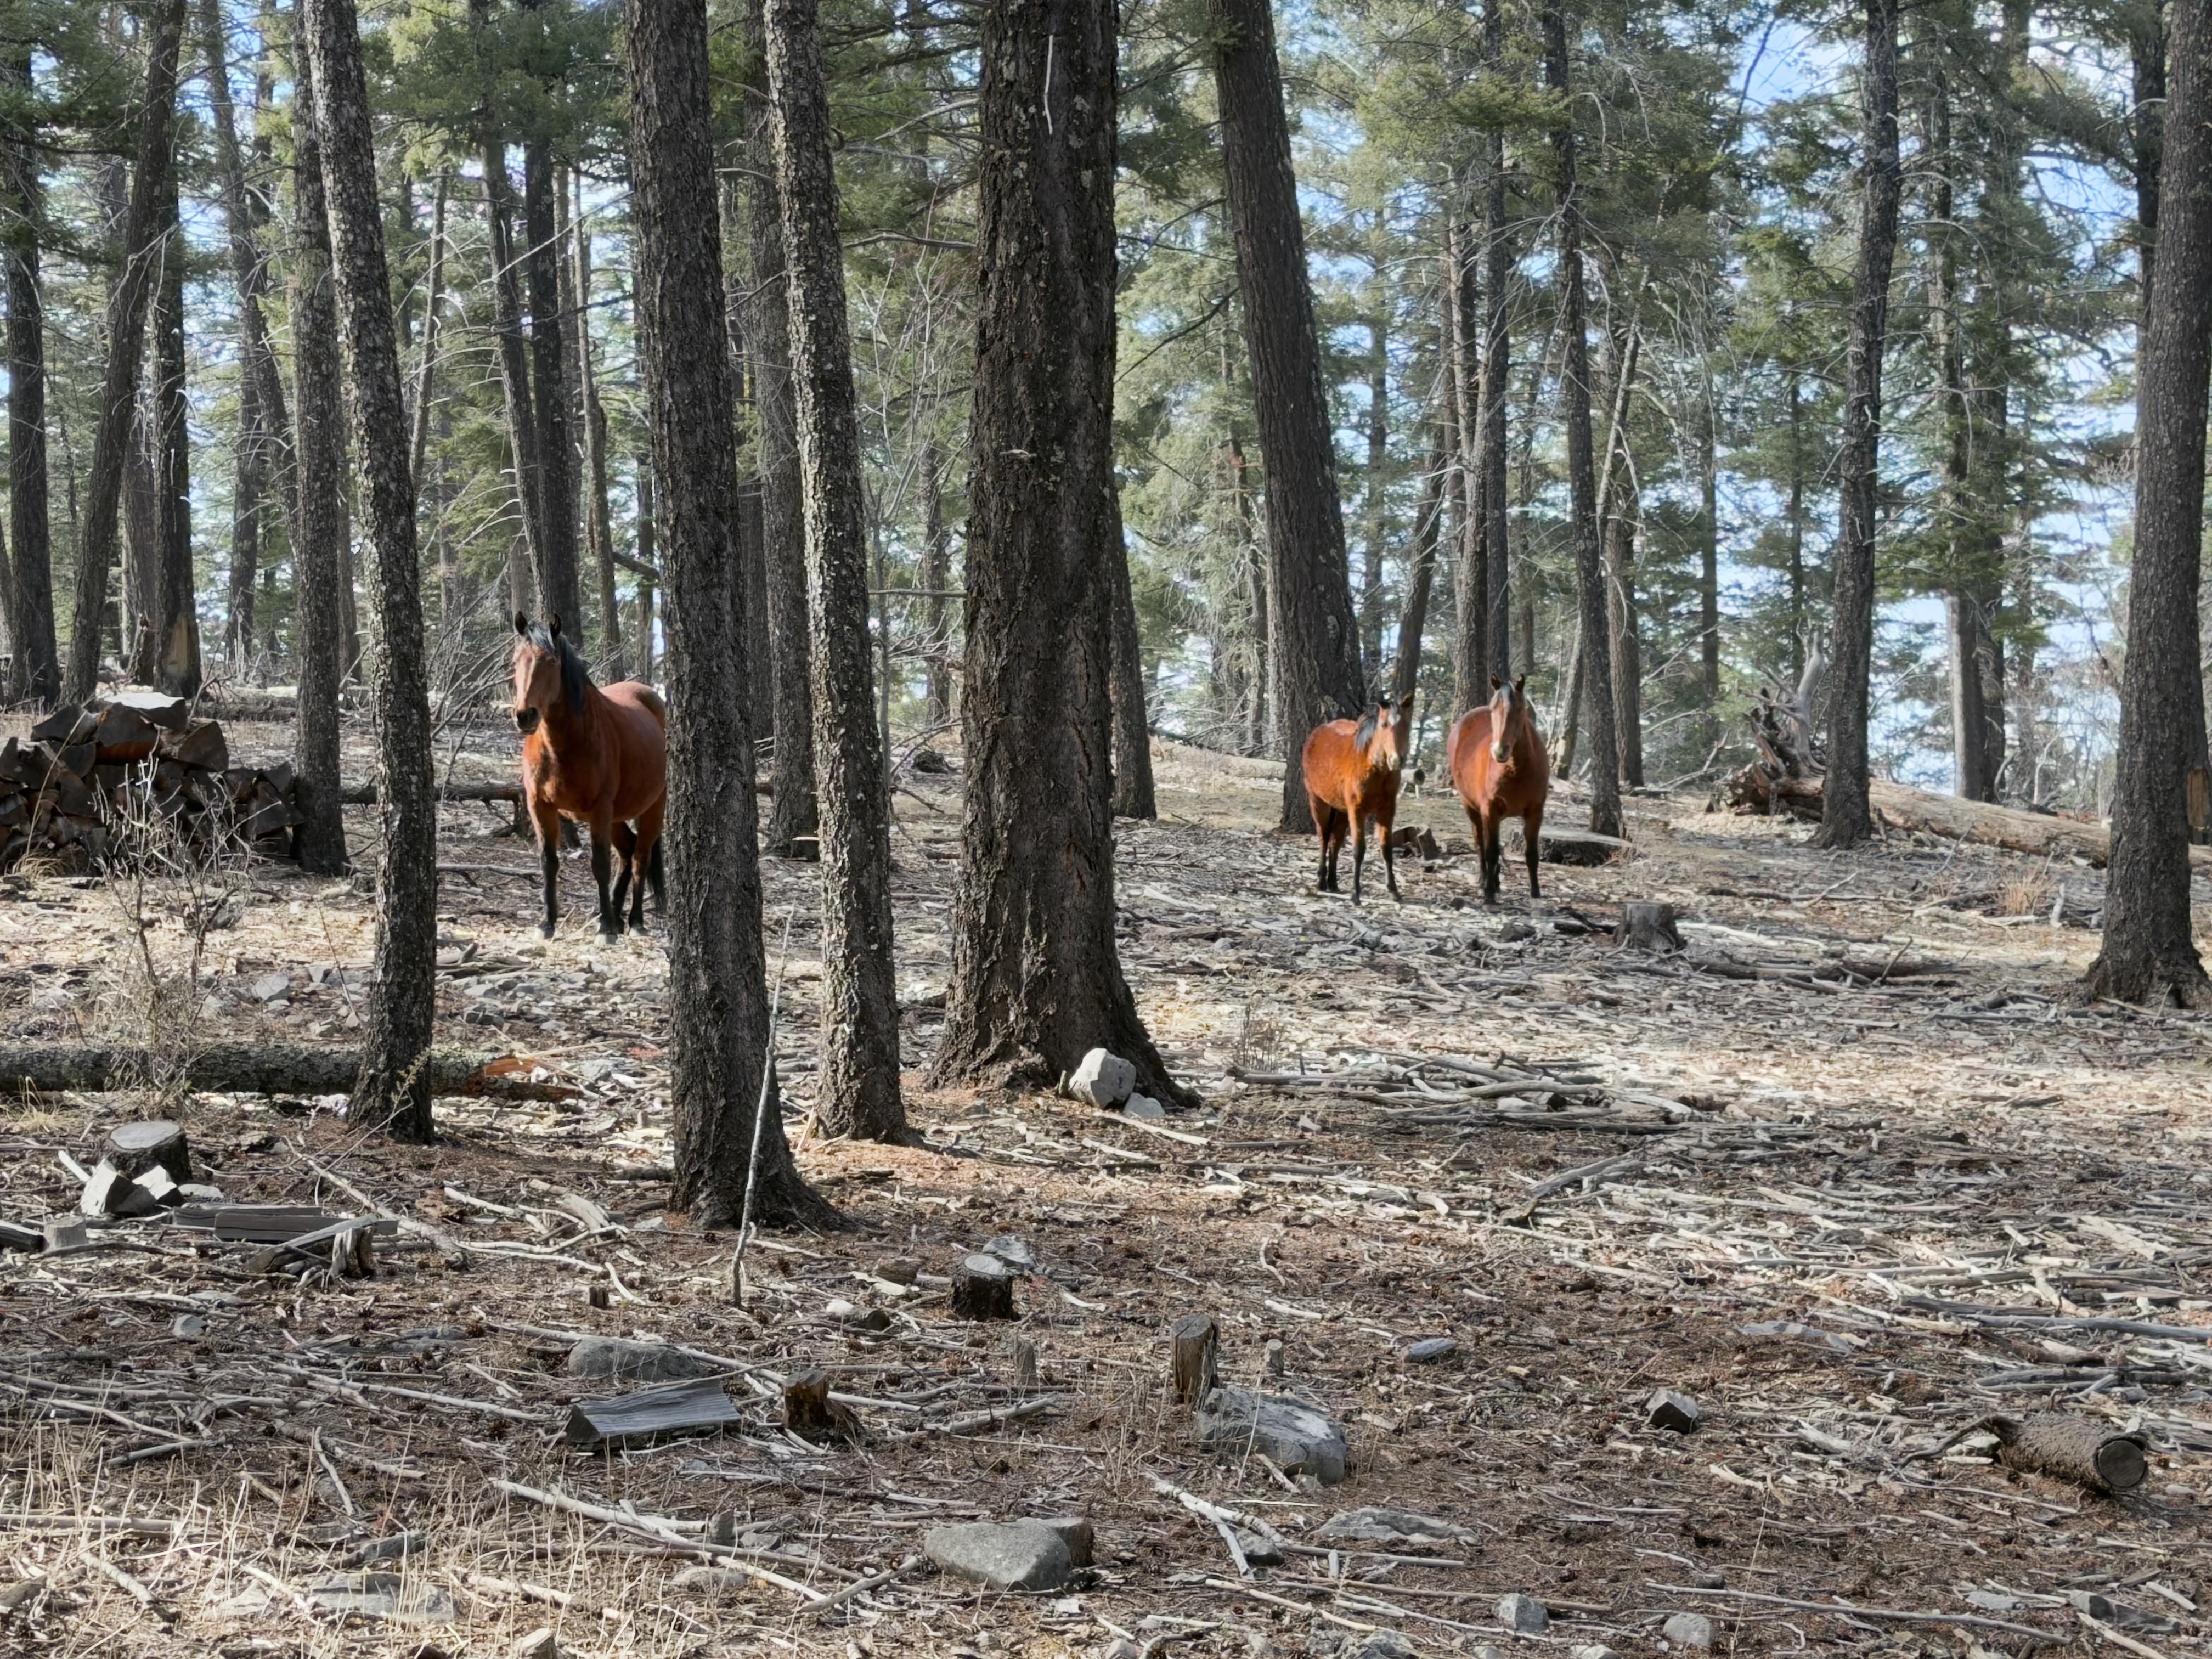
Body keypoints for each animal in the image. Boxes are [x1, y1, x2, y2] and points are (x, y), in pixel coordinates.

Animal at [510, 614, 668, 939]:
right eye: (515, 660)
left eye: (551, 662)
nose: (525, 715)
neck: (565, 744)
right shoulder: (540, 806)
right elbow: (549, 862)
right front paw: (547, 923)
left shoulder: (599, 810)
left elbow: (599, 865)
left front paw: (606, 929)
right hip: (617, 816)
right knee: (627, 851)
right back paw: (615, 915)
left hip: (652, 808)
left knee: (640, 856)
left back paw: (633, 921)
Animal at [1299, 692, 1415, 904]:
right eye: (1384, 724)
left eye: (1407, 724)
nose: (1396, 760)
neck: (1374, 767)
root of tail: (1315, 735)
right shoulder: (1357, 810)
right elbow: (1358, 850)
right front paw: (1356, 893)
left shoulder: (1387, 811)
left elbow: (1386, 849)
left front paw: (1394, 891)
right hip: (1318, 802)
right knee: (1324, 837)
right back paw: (1321, 880)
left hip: (1341, 811)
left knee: (1335, 842)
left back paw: (1333, 883)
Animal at [1447, 673, 1550, 904]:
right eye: (1494, 709)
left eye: (1520, 709)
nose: (1499, 751)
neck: (1516, 769)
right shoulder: (1490, 810)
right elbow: (1491, 851)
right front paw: (1488, 895)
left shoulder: (1535, 813)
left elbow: (1531, 854)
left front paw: (1536, 894)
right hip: (1472, 808)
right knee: (1481, 843)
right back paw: (1485, 881)